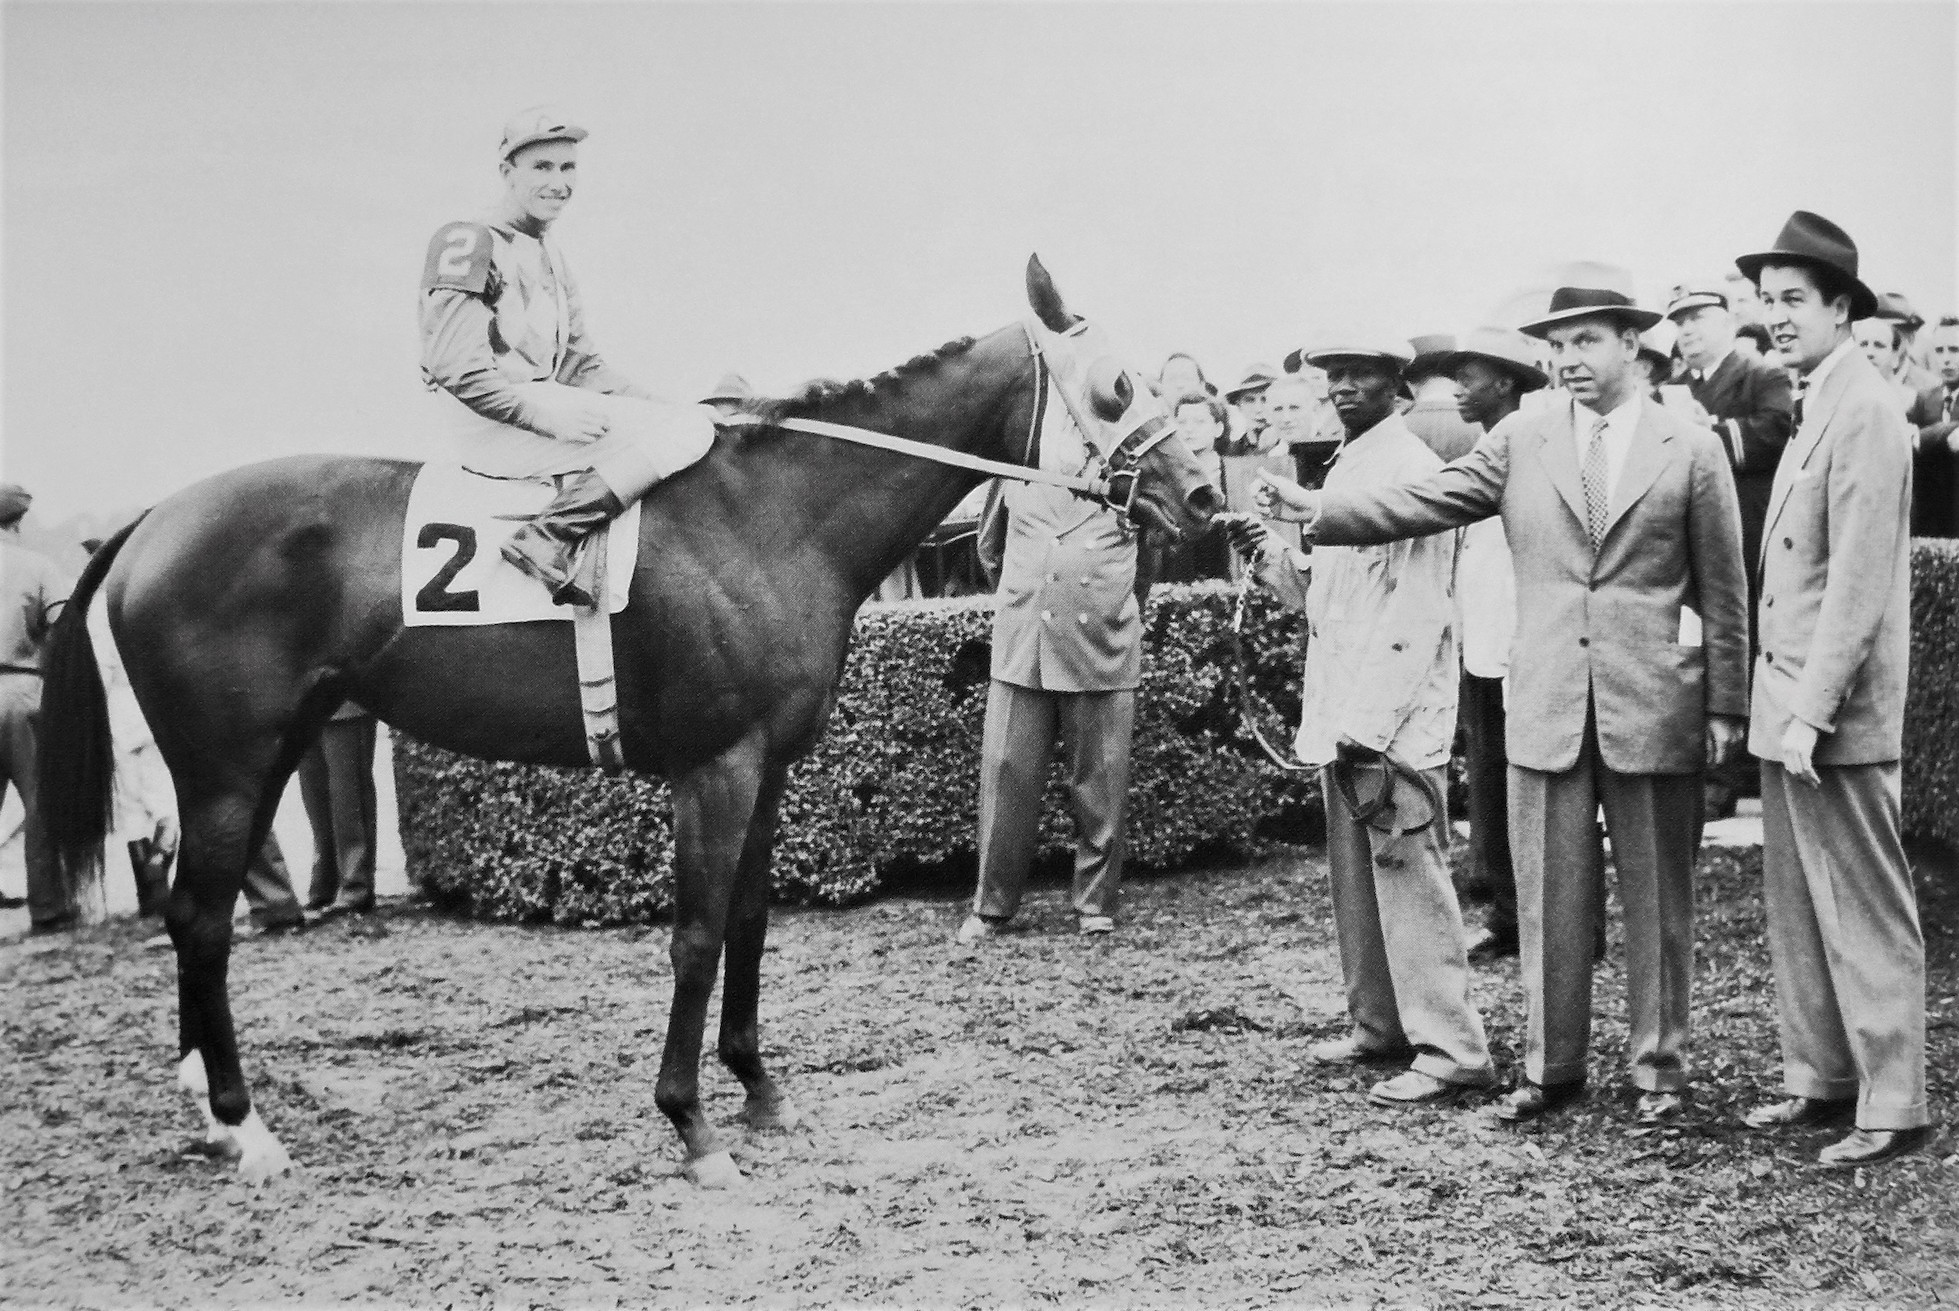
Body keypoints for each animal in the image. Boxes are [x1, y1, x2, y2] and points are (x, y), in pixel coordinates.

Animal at [38, 254, 1214, 1183]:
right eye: (1117, 385)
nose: (1204, 495)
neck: (772, 519)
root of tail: (154, 516)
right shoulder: (716, 767)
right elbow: (694, 935)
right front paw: (691, 1122)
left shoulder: (771, 768)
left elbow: (748, 922)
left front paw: (759, 1088)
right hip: (228, 768)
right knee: (198, 921)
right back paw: (243, 1128)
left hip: (269, 753)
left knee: (195, 917)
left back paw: (207, 1108)